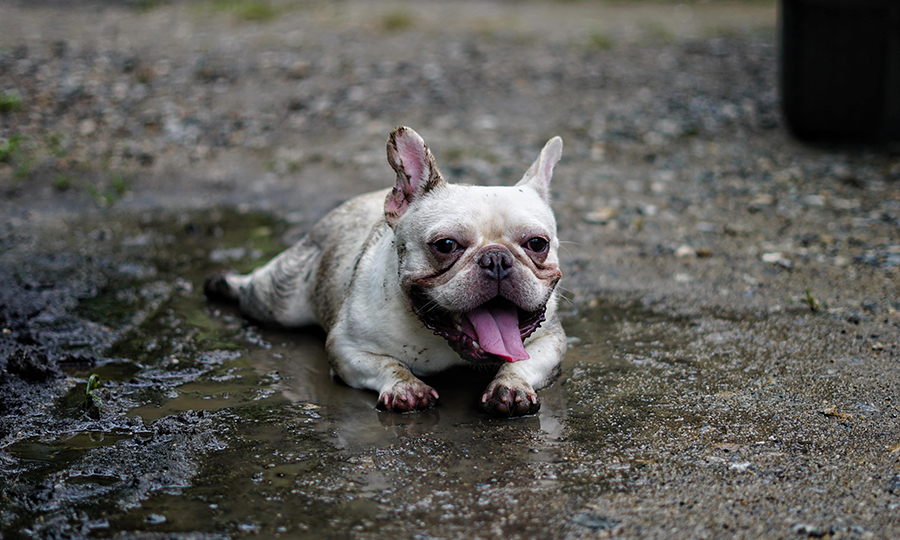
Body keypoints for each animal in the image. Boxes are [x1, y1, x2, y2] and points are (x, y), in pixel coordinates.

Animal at [207, 127, 568, 418]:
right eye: (446, 245)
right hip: (280, 299)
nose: (496, 259)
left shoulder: (551, 340)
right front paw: (405, 387)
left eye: (537, 243)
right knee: (256, 289)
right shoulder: (347, 347)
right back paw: (224, 283)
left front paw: (511, 385)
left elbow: (524, 362)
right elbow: (386, 363)